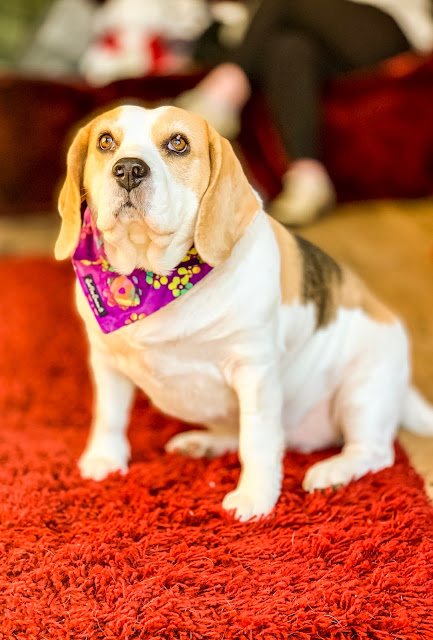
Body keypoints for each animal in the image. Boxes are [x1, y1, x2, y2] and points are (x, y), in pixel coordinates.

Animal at [55, 105, 430, 524]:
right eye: (106, 141)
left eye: (178, 143)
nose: (129, 169)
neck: (151, 277)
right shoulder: (106, 361)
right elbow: (109, 416)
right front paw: (105, 459)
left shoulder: (255, 372)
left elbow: (258, 441)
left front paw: (255, 497)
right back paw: (205, 443)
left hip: (361, 392)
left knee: (375, 452)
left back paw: (332, 471)